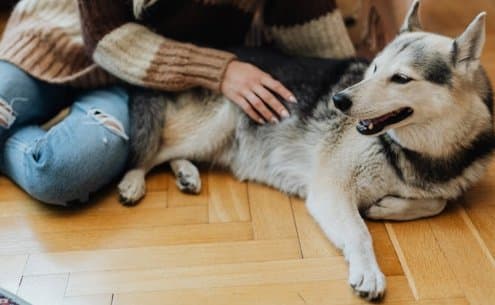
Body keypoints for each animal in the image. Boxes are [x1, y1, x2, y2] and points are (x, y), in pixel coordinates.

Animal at [118, 0, 494, 300]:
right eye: (374, 68)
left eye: (401, 79)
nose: (338, 100)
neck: (421, 154)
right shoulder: (331, 191)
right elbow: (359, 234)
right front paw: (368, 270)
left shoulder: (437, 184)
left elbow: (438, 201)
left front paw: (388, 206)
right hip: (213, 126)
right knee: (153, 152)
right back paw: (134, 181)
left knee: (172, 153)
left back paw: (186, 173)